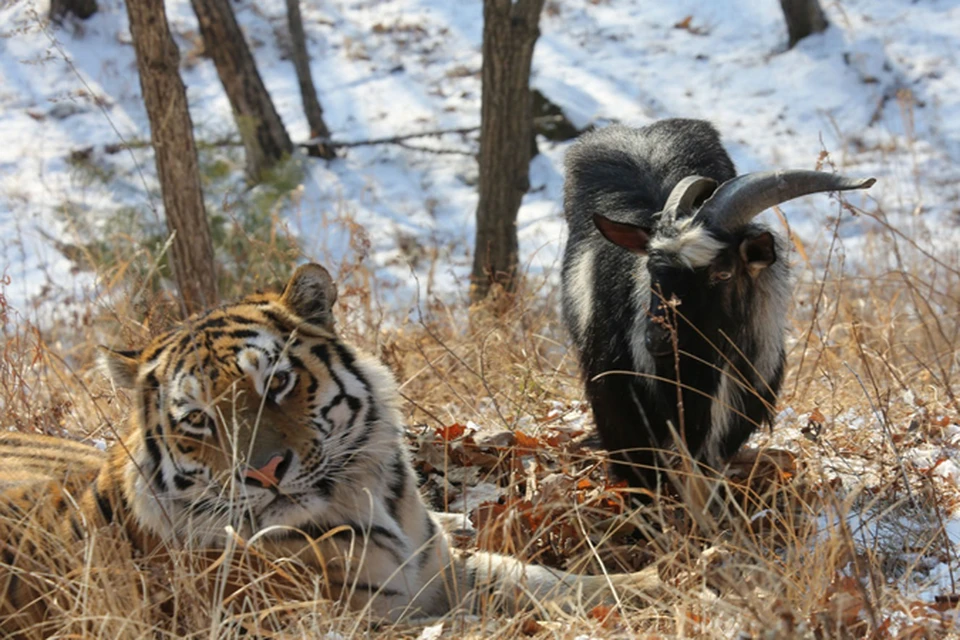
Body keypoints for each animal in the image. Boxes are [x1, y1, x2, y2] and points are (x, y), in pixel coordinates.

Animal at [0, 264, 660, 636]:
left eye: (276, 382)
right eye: (197, 421)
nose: (264, 472)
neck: (373, 502)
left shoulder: (444, 569)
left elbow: (542, 578)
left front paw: (653, 578)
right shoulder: (339, 621)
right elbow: (483, 621)